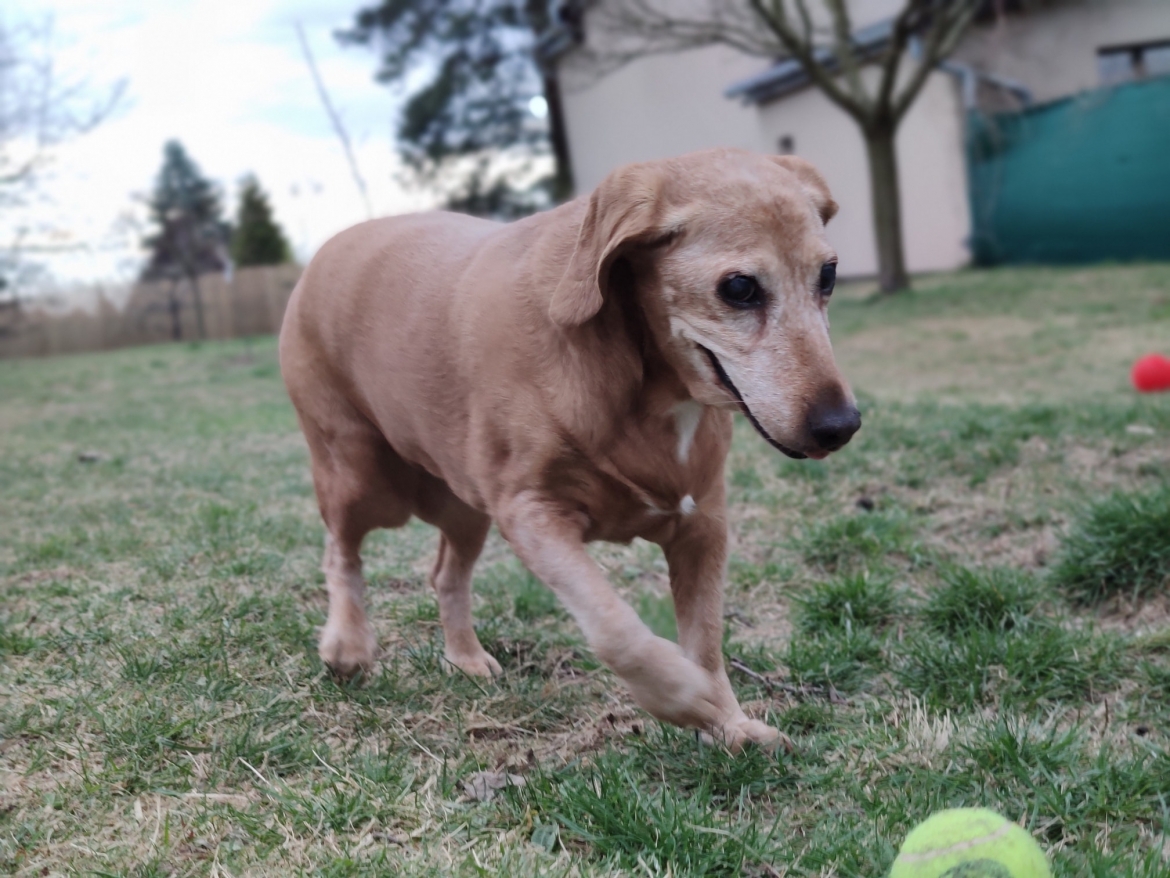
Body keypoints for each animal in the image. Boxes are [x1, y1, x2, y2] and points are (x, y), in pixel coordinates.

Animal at [276, 148, 861, 753]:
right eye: (740, 287)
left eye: (828, 276)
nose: (841, 425)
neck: (645, 385)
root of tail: (328, 248)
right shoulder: (534, 513)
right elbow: (616, 629)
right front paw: (688, 698)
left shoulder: (703, 526)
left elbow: (705, 639)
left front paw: (729, 723)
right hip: (363, 480)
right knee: (340, 552)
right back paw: (346, 645)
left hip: (465, 507)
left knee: (446, 575)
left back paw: (464, 657)